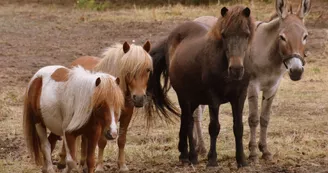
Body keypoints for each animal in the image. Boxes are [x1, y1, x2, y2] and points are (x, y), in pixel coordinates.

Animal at [146, 5, 256, 168]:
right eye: (224, 34)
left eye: (246, 34)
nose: (236, 69)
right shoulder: (213, 98)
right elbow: (214, 127)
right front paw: (212, 160)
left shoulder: (239, 96)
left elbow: (238, 127)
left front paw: (241, 160)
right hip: (184, 96)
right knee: (189, 121)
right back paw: (191, 156)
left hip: (194, 99)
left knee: (186, 120)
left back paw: (184, 154)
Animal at [193, 0, 312, 162]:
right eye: (282, 37)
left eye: (305, 36)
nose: (297, 71)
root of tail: (197, 19)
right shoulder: (252, 86)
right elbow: (254, 119)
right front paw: (253, 153)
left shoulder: (272, 87)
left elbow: (265, 118)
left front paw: (265, 151)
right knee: (195, 113)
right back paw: (201, 148)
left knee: (197, 111)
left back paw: (197, 146)